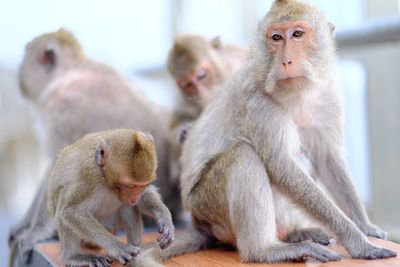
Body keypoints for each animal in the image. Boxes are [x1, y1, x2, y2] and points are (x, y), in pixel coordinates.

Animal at [45, 129, 173, 266]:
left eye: (141, 186)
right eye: (130, 186)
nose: (133, 198)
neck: (106, 178)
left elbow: (143, 198)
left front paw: (165, 218)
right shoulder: (90, 176)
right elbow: (71, 211)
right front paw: (118, 247)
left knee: (127, 206)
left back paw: (139, 251)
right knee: (63, 199)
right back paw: (74, 256)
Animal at [152, 0, 396, 264]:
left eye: (297, 34)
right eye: (276, 37)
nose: (286, 61)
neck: (298, 93)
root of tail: (201, 224)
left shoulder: (329, 93)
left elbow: (329, 160)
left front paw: (365, 226)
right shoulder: (258, 99)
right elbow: (282, 165)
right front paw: (356, 240)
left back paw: (296, 233)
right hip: (205, 204)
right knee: (243, 155)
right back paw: (265, 250)